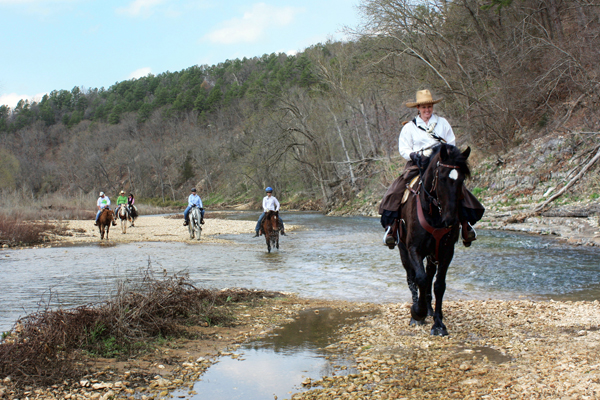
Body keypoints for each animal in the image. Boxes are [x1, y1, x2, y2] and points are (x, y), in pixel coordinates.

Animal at [396, 142, 472, 336]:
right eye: (443, 178)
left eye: (462, 179)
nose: (450, 220)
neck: (434, 214)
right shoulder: (413, 249)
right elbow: (420, 279)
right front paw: (417, 312)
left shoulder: (446, 251)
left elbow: (438, 285)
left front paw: (438, 323)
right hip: (403, 251)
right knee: (411, 278)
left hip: (432, 254)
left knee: (430, 276)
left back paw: (430, 310)